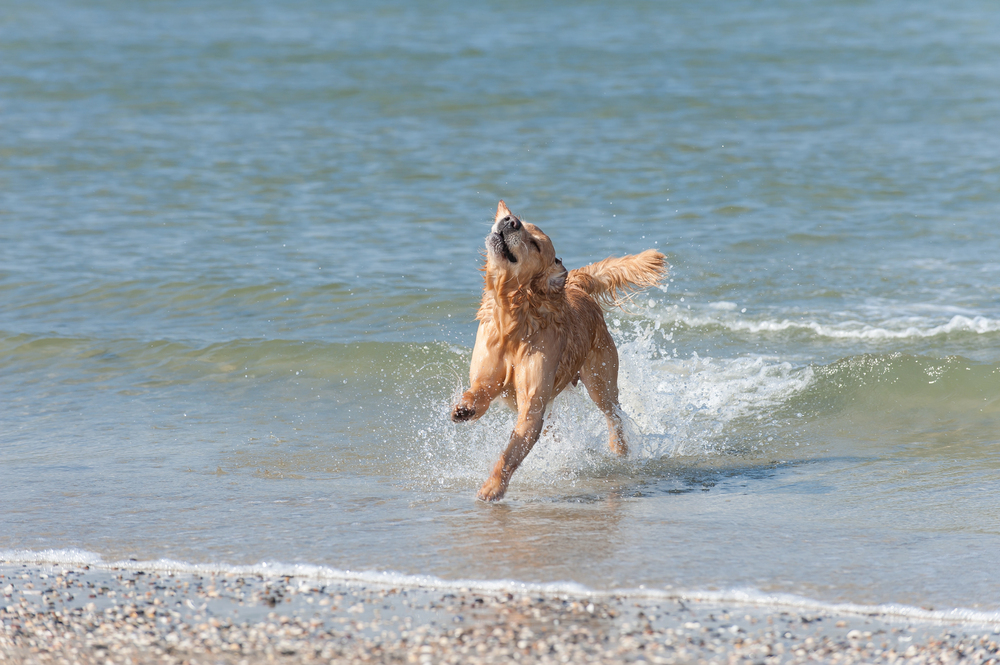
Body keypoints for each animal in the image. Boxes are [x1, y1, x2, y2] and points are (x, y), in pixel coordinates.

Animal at [452, 200, 668, 500]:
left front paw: (492, 487)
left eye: (535, 243)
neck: (513, 321)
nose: (509, 221)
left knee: (614, 415)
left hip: (600, 381)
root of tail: (575, 283)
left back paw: (619, 450)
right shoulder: (489, 377)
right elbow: (479, 392)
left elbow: (510, 453)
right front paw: (464, 407)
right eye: (517, 221)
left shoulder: (532, 404)